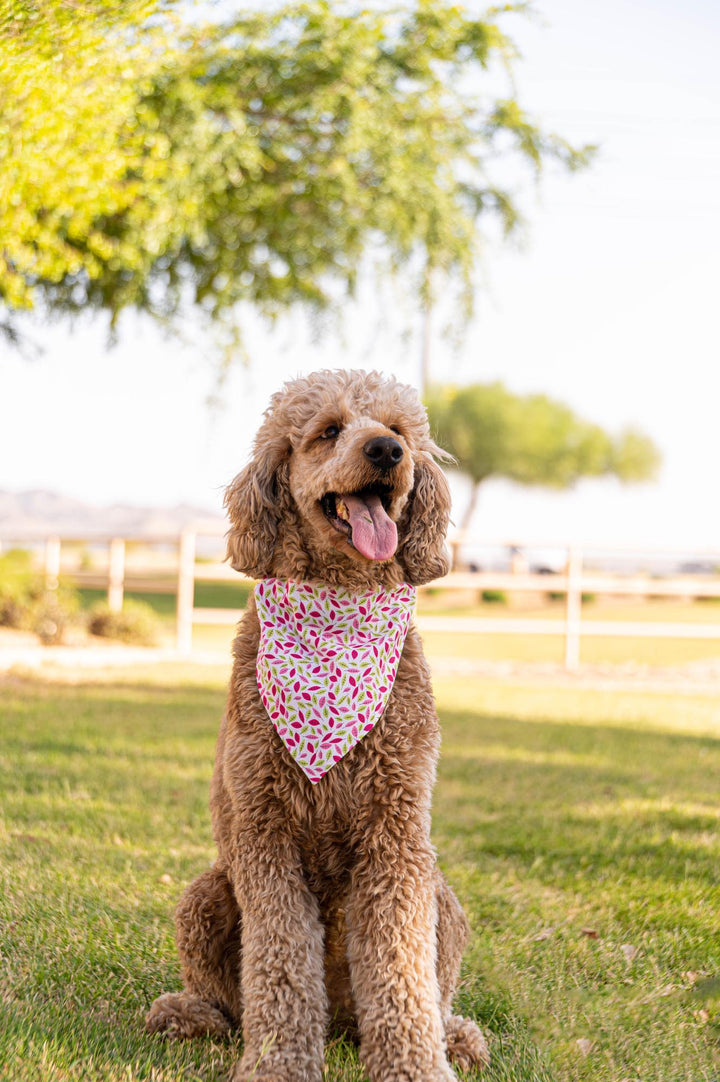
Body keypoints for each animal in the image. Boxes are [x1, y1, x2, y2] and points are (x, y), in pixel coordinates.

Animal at [148, 372, 491, 1082]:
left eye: (399, 428)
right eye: (329, 431)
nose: (388, 450)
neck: (339, 605)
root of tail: (340, 1024)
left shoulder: (395, 836)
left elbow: (401, 966)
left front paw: (417, 1064)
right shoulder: (265, 832)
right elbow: (279, 964)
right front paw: (276, 1064)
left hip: (442, 898)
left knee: (434, 984)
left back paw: (455, 1036)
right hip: (206, 892)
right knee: (223, 995)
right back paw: (190, 1016)